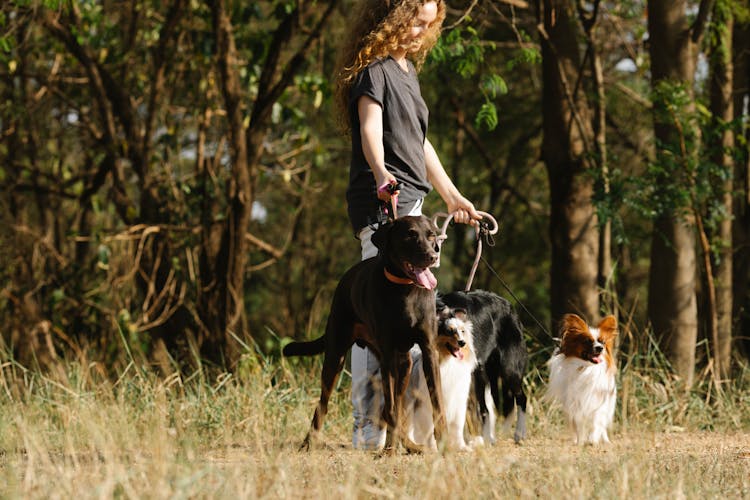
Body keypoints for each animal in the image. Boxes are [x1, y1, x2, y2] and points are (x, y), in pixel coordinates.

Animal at [284, 216, 446, 454]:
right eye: (410, 235)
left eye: (431, 235)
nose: (432, 257)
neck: (406, 289)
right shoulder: (388, 356)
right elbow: (390, 409)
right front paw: (389, 451)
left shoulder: (428, 351)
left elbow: (436, 404)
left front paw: (446, 443)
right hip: (336, 356)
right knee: (322, 405)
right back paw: (308, 442)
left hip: (404, 364)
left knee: (398, 406)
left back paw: (409, 444)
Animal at [438, 292, 532, 444]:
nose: (462, 342)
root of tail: (510, 306)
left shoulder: (474, 374)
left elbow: (481, 409)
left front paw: (484, 438)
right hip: (494, 379)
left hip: (509, 371)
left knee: (521, 398)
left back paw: (519, 433)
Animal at [548, 312, 620, 446]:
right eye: (587, 341)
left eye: (602, 342)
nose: (600, 348)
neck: (587, 369)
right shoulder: (576, 404)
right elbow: (579, 425)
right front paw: (581, 442)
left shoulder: (599, 401)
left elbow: (597, 422)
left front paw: (593, 439)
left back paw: (605, 440)